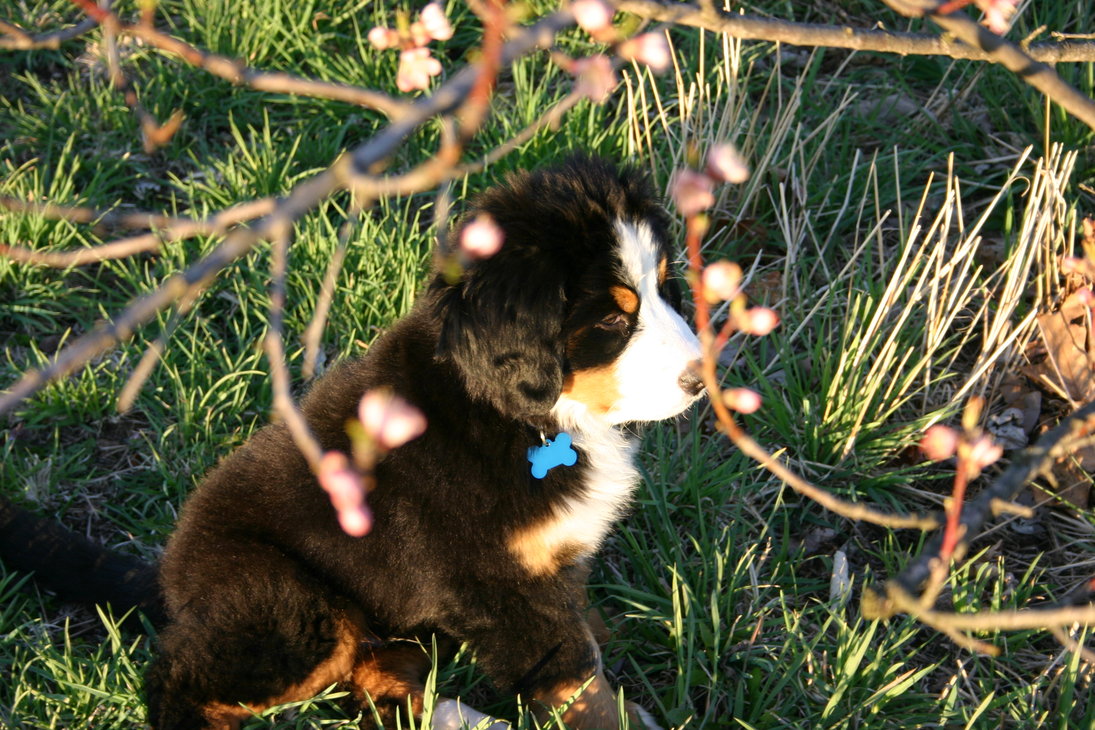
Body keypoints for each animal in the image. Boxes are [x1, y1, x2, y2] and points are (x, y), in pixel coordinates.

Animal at [0, 156, 705, 730]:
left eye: (665, 287)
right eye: (612, 318)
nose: (702, 379)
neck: (525, 414)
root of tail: (173, 582)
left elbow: (584, 632)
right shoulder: (498, 583)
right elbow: (574, 680)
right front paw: (619, 712)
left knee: (375, 686)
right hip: (293, 606)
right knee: (185, 684)